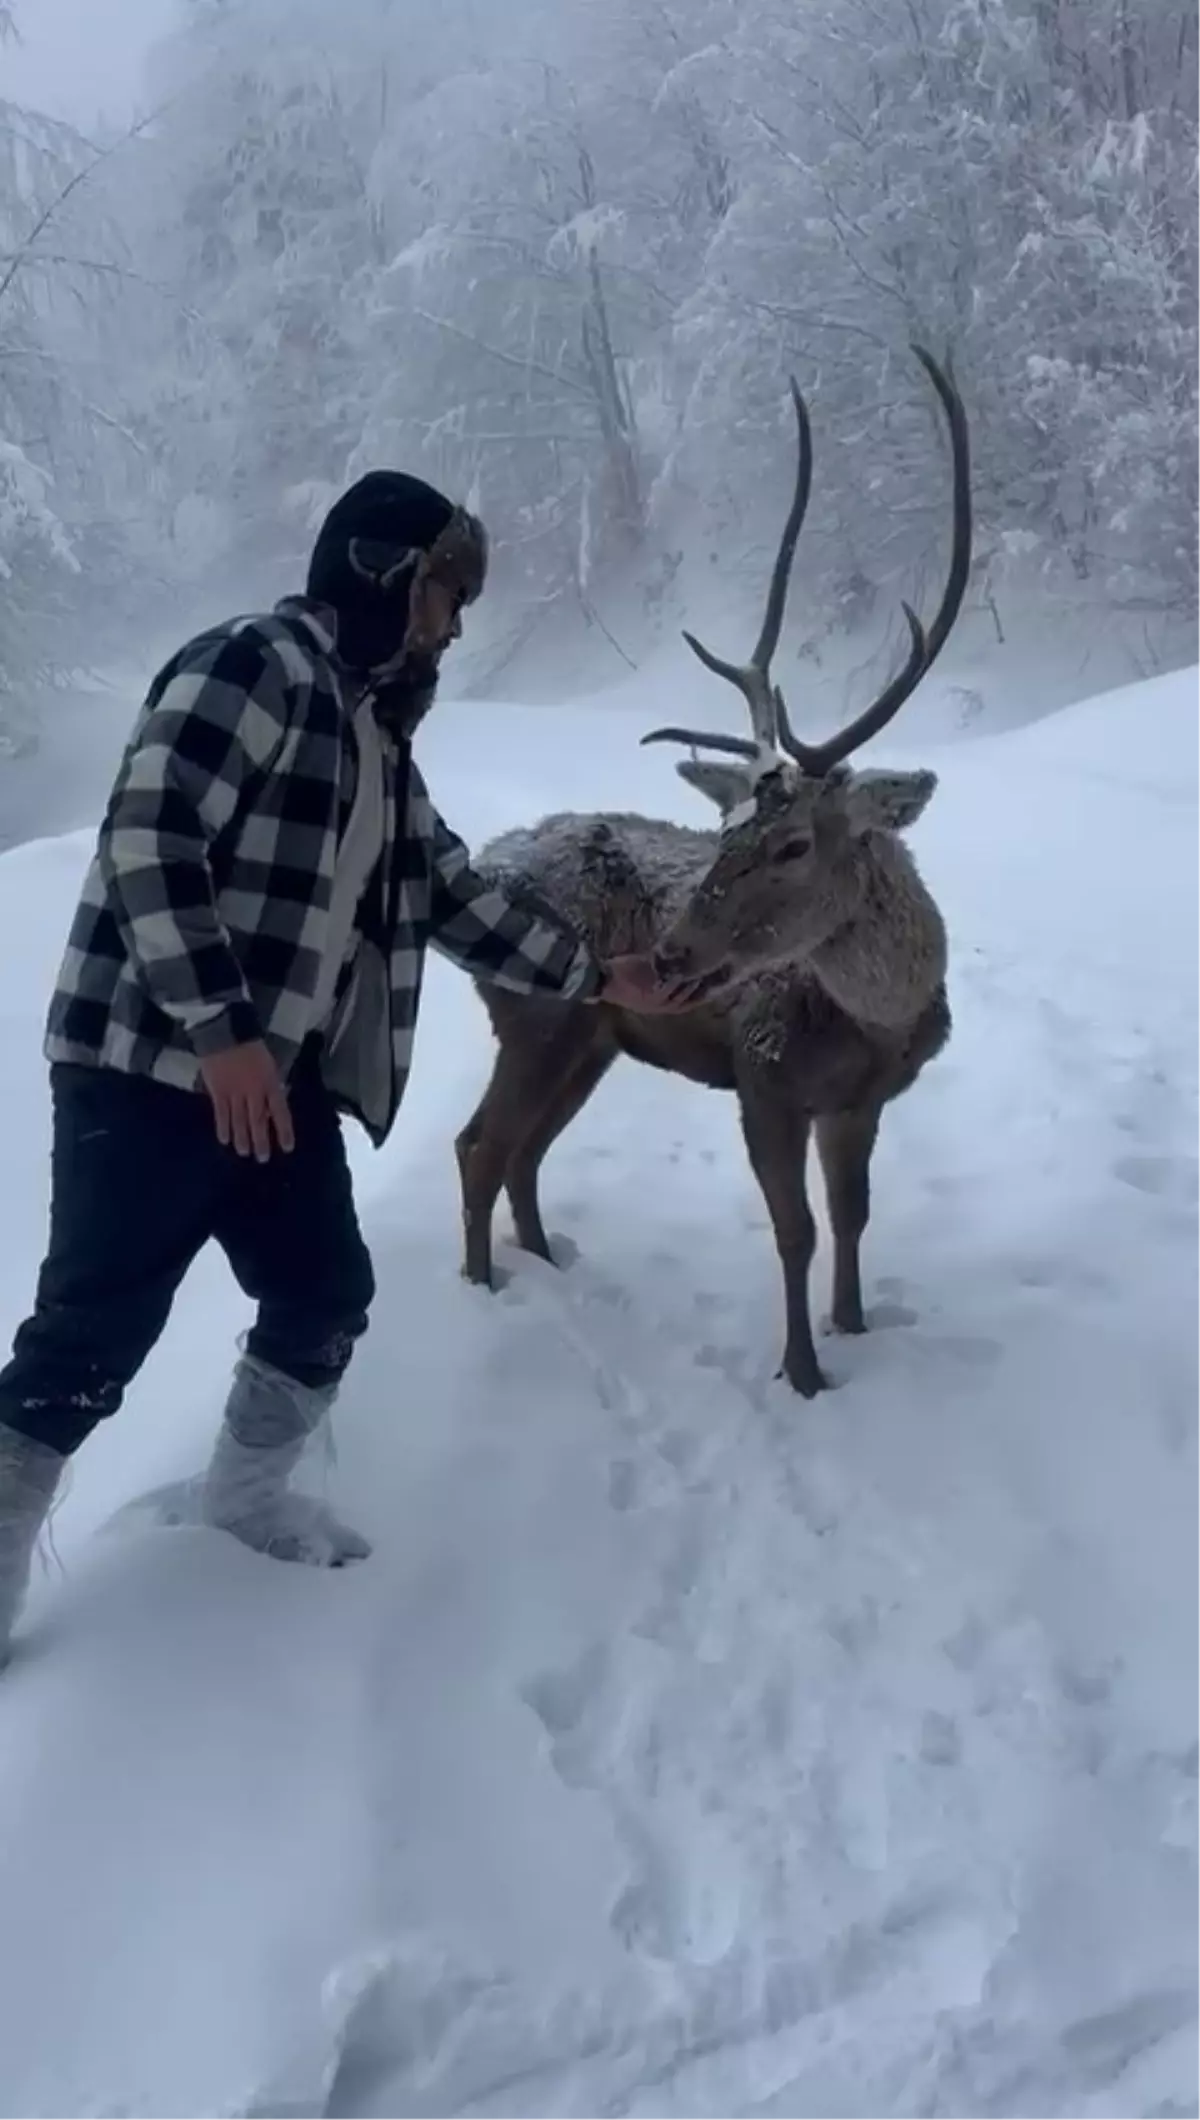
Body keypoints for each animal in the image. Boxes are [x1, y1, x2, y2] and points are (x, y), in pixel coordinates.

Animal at [455, 349, 975, 1399]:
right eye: (723, 827)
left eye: (794, 843)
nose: (672, 952)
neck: (880, 1018)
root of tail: (485, 859)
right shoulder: (763, 1079)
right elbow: (796, 1232)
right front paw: (804, 1374)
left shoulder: (859, 1101)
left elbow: (853, 1218)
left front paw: (855, 1328)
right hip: (533, 1020)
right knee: (482, 1145)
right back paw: (487, 1292)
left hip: (592, 1038)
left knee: (523, 1150)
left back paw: (547, 1259)